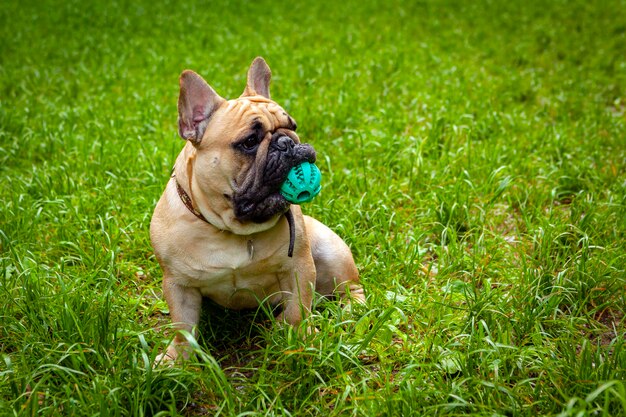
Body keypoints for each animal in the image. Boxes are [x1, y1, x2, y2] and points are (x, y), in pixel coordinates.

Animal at [151, 57, 364, 360]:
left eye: (293, 125)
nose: (287, 142)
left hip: (330, 251)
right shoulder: (178, 284)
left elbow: (299, 309)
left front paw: (300, 339)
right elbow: (182, 327)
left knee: (350, 287)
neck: (232, 229)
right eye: (250, 142)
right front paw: (176, 359)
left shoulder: (298, 267)